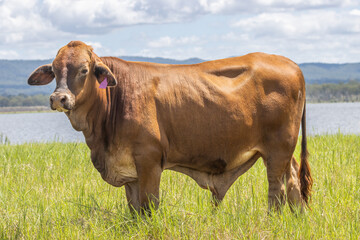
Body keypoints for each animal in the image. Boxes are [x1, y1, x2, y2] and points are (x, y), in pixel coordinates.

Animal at [28, 40, 312, 213]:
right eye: (54, 70)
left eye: (84, 70)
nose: (59, 98)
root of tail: (291, 64)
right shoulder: (129, 170)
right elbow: (134, 210)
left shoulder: (149, 160)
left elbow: (149, 206)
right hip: (284, 152)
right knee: (293, 181)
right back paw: (298, 218)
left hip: (277, 149)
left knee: (277, 190)